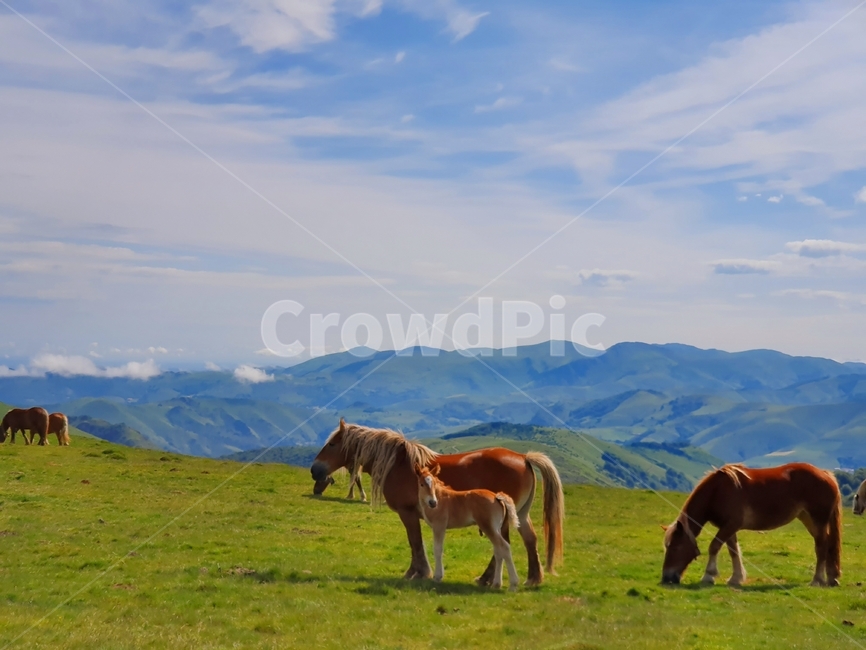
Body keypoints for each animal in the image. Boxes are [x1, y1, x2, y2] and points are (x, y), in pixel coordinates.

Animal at [310, 419, 564, 586]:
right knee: (529, 540)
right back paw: (531, 578)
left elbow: (415, 542)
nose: (314, 470)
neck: (399, 465)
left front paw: (418, 573)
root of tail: (524, 457)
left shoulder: (408, 513)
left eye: (332, 444)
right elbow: (416, 543)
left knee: (503, 545)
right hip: (519, 514)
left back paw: (490, 579)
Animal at [662, 463, 842, 587]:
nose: (666, 578)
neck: (717, 491)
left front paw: (708, 576)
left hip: (818, 521)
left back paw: (817, 580)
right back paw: (831, 577)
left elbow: (714, 547)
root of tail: (825, 474)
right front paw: (736, 578)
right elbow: (733, 551)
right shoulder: (729, 528)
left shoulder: (730, 526)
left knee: (821, 547)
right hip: (808, 519)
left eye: (675, 547)